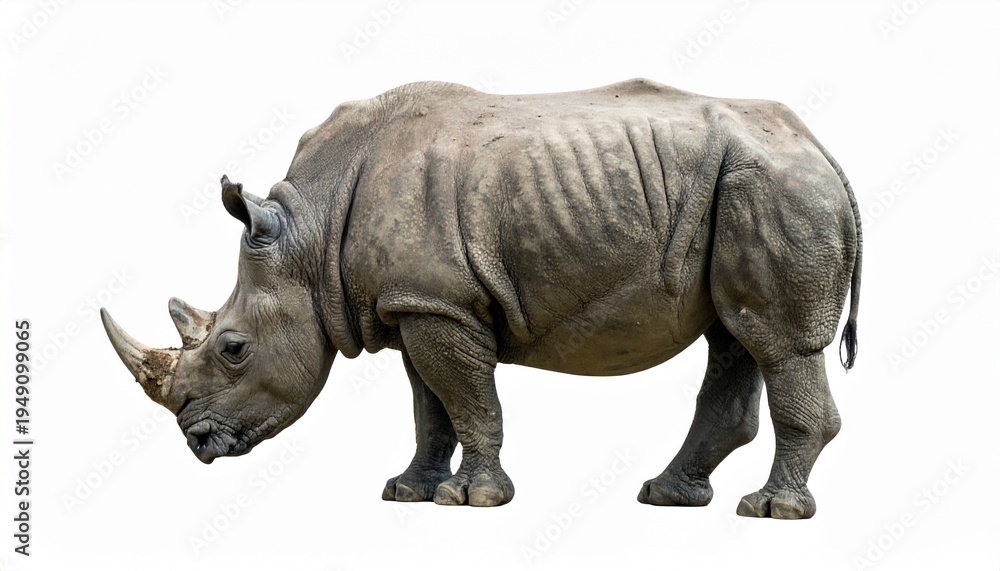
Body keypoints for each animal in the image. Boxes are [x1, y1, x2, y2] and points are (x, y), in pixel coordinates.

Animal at [102, 78, 861, 519]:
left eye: (234, 348)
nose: (197, 442)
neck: (307, 237)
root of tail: (822, 147)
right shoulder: (414, 303)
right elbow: (430, 407)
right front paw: (408, 493)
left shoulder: (441, 303)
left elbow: (469, 400)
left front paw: (476, 499)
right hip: (747, 185)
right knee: (735, 335)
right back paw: (668, 496)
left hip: (774, 187)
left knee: (777, 342)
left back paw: (769, 510)